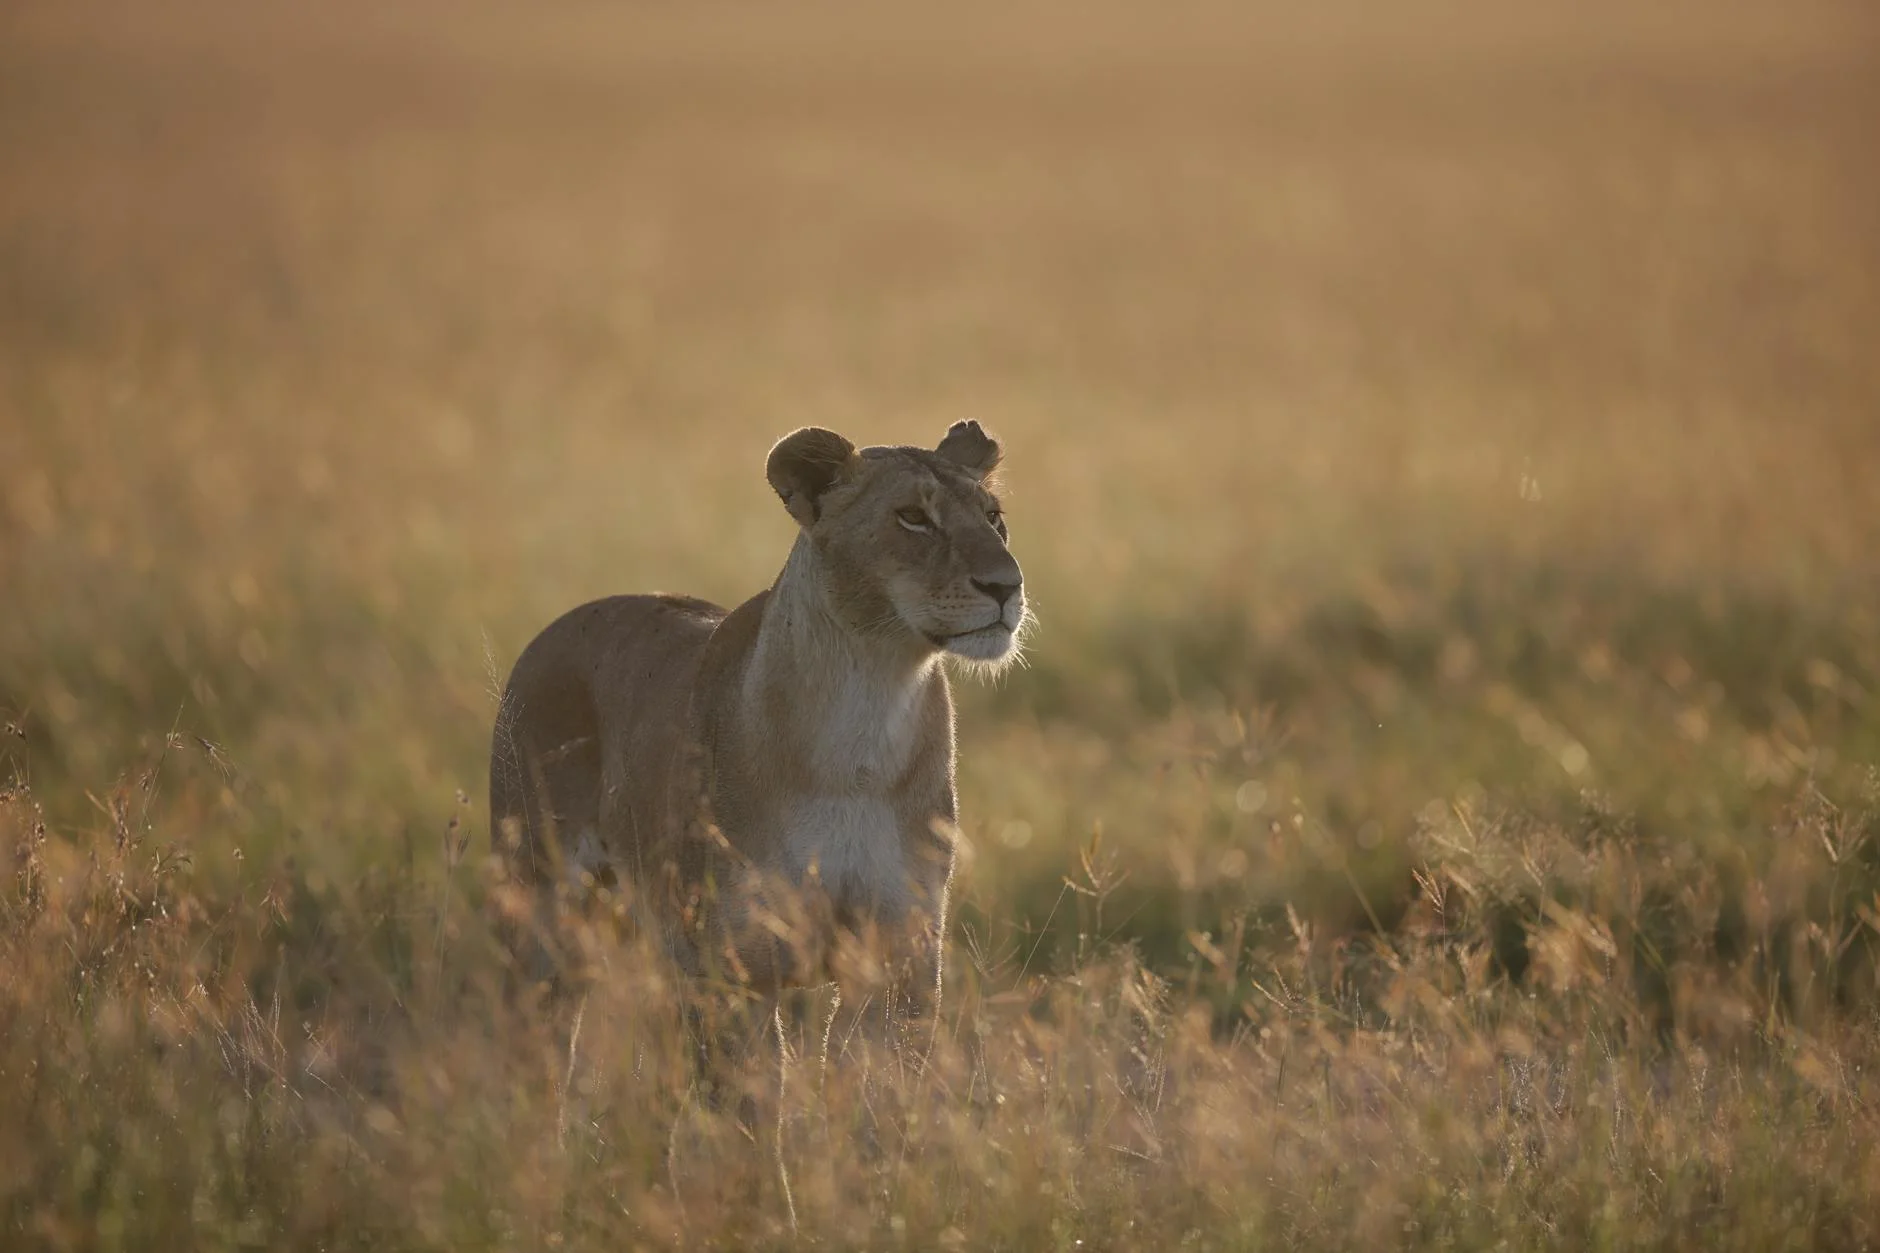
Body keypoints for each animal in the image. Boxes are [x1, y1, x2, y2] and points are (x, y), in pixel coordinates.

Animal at [488, 420, 1026, 1046]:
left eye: (993, 517)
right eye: (913, 517)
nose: (1007, 585)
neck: (868, 707)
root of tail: (553, 629)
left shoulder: (901, 956)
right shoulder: (736, 967)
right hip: (541, 913)